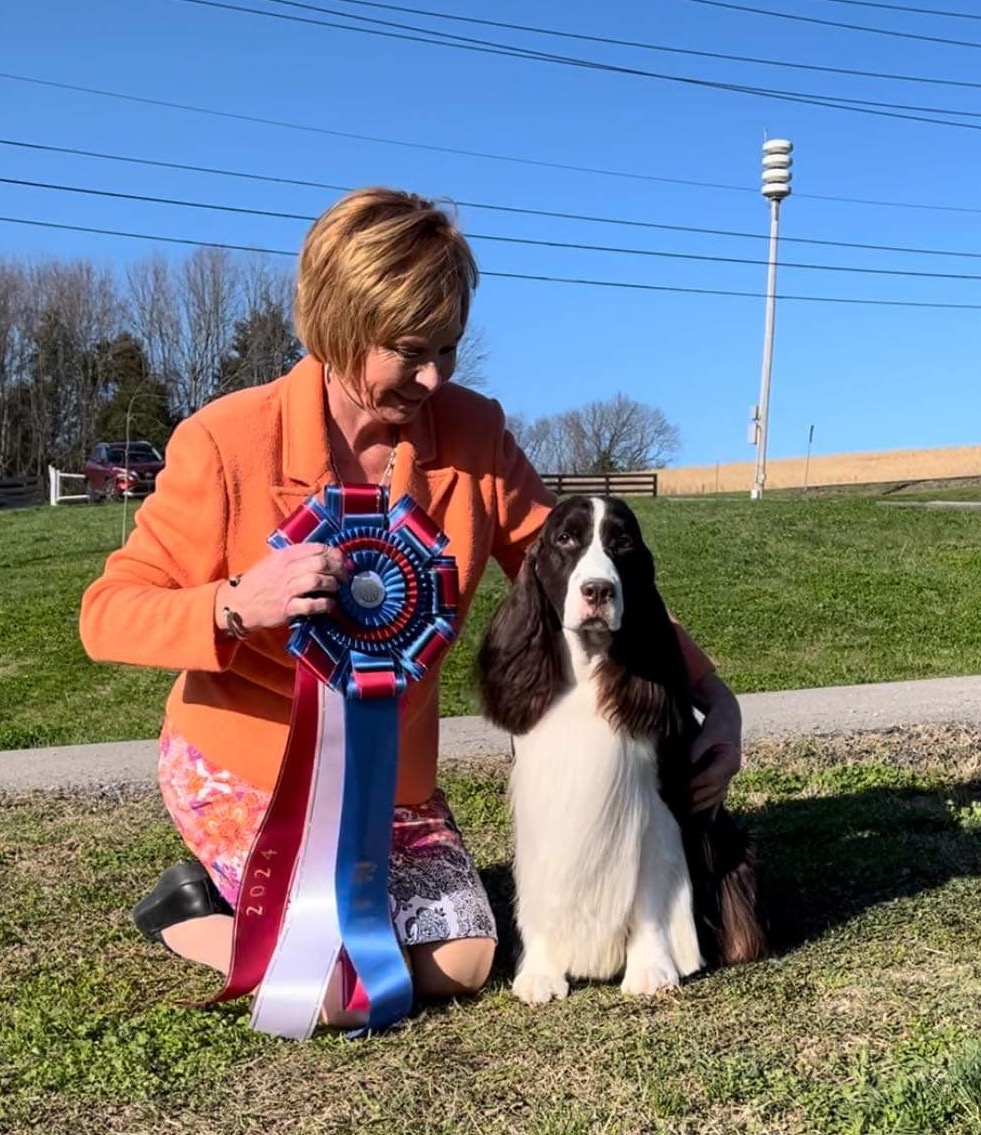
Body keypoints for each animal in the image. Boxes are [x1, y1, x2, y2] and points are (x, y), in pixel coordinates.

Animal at [477, 495, 767, 1004]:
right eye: (565, 539)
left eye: (624, 543)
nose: (597, 590)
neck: (586, 673)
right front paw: (540, 972)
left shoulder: (656, 805)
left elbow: (653, 889)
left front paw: (651, 968)